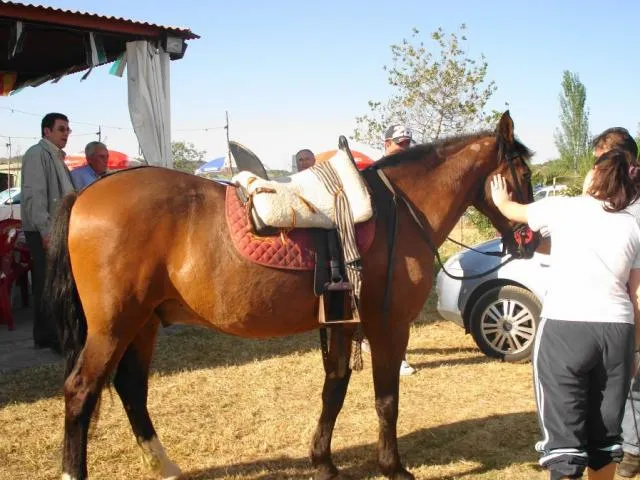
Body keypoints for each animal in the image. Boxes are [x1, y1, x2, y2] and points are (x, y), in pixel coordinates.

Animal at [46, 110, 536, 478]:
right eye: (523, 172)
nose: (530, 239)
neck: (396, 210)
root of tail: (86, 194)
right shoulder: (388, 326)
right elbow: (386, 399)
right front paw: (393, 467)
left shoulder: (344, 322)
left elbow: (334, 387)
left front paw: (323, 461)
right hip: (113, 326)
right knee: (81, 391)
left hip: (143, 323)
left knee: (131, 388)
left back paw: (164, 466)